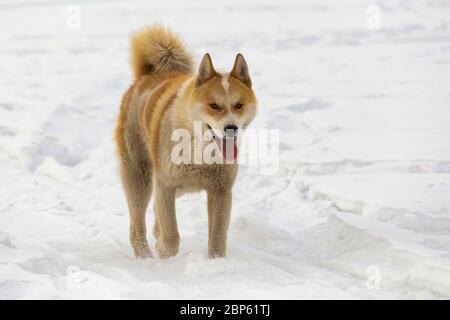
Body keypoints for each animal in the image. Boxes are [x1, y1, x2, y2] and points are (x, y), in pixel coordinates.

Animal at [114, 25, 258, 260]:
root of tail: (144, 77)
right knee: (137, 226)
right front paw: (163, 251)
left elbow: (218, 238)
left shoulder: (221, 190)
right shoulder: (165, 184)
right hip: (139, 177)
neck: (199, 149)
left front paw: (215, 263)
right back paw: (146, 257)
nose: (231, 128)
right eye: (213, 105)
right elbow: (172, 236)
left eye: (239, 105)